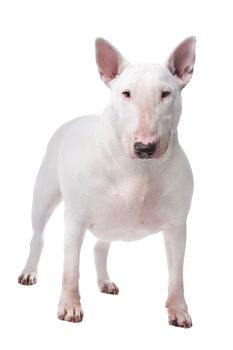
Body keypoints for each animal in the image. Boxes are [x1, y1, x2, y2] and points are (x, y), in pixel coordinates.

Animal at [18, 37, 196, 326]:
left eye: (166, 93)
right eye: (126, 93)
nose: (144, 147)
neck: (138, 171)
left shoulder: (177, 226)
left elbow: (176, 274)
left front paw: (179, 311)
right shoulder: (75, 220)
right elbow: (70, 269)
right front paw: (70, 307)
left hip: (113, 223)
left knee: (100, 248)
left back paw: (105, 282)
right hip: (44, 195)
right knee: (38, 236)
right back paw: (28, 272)